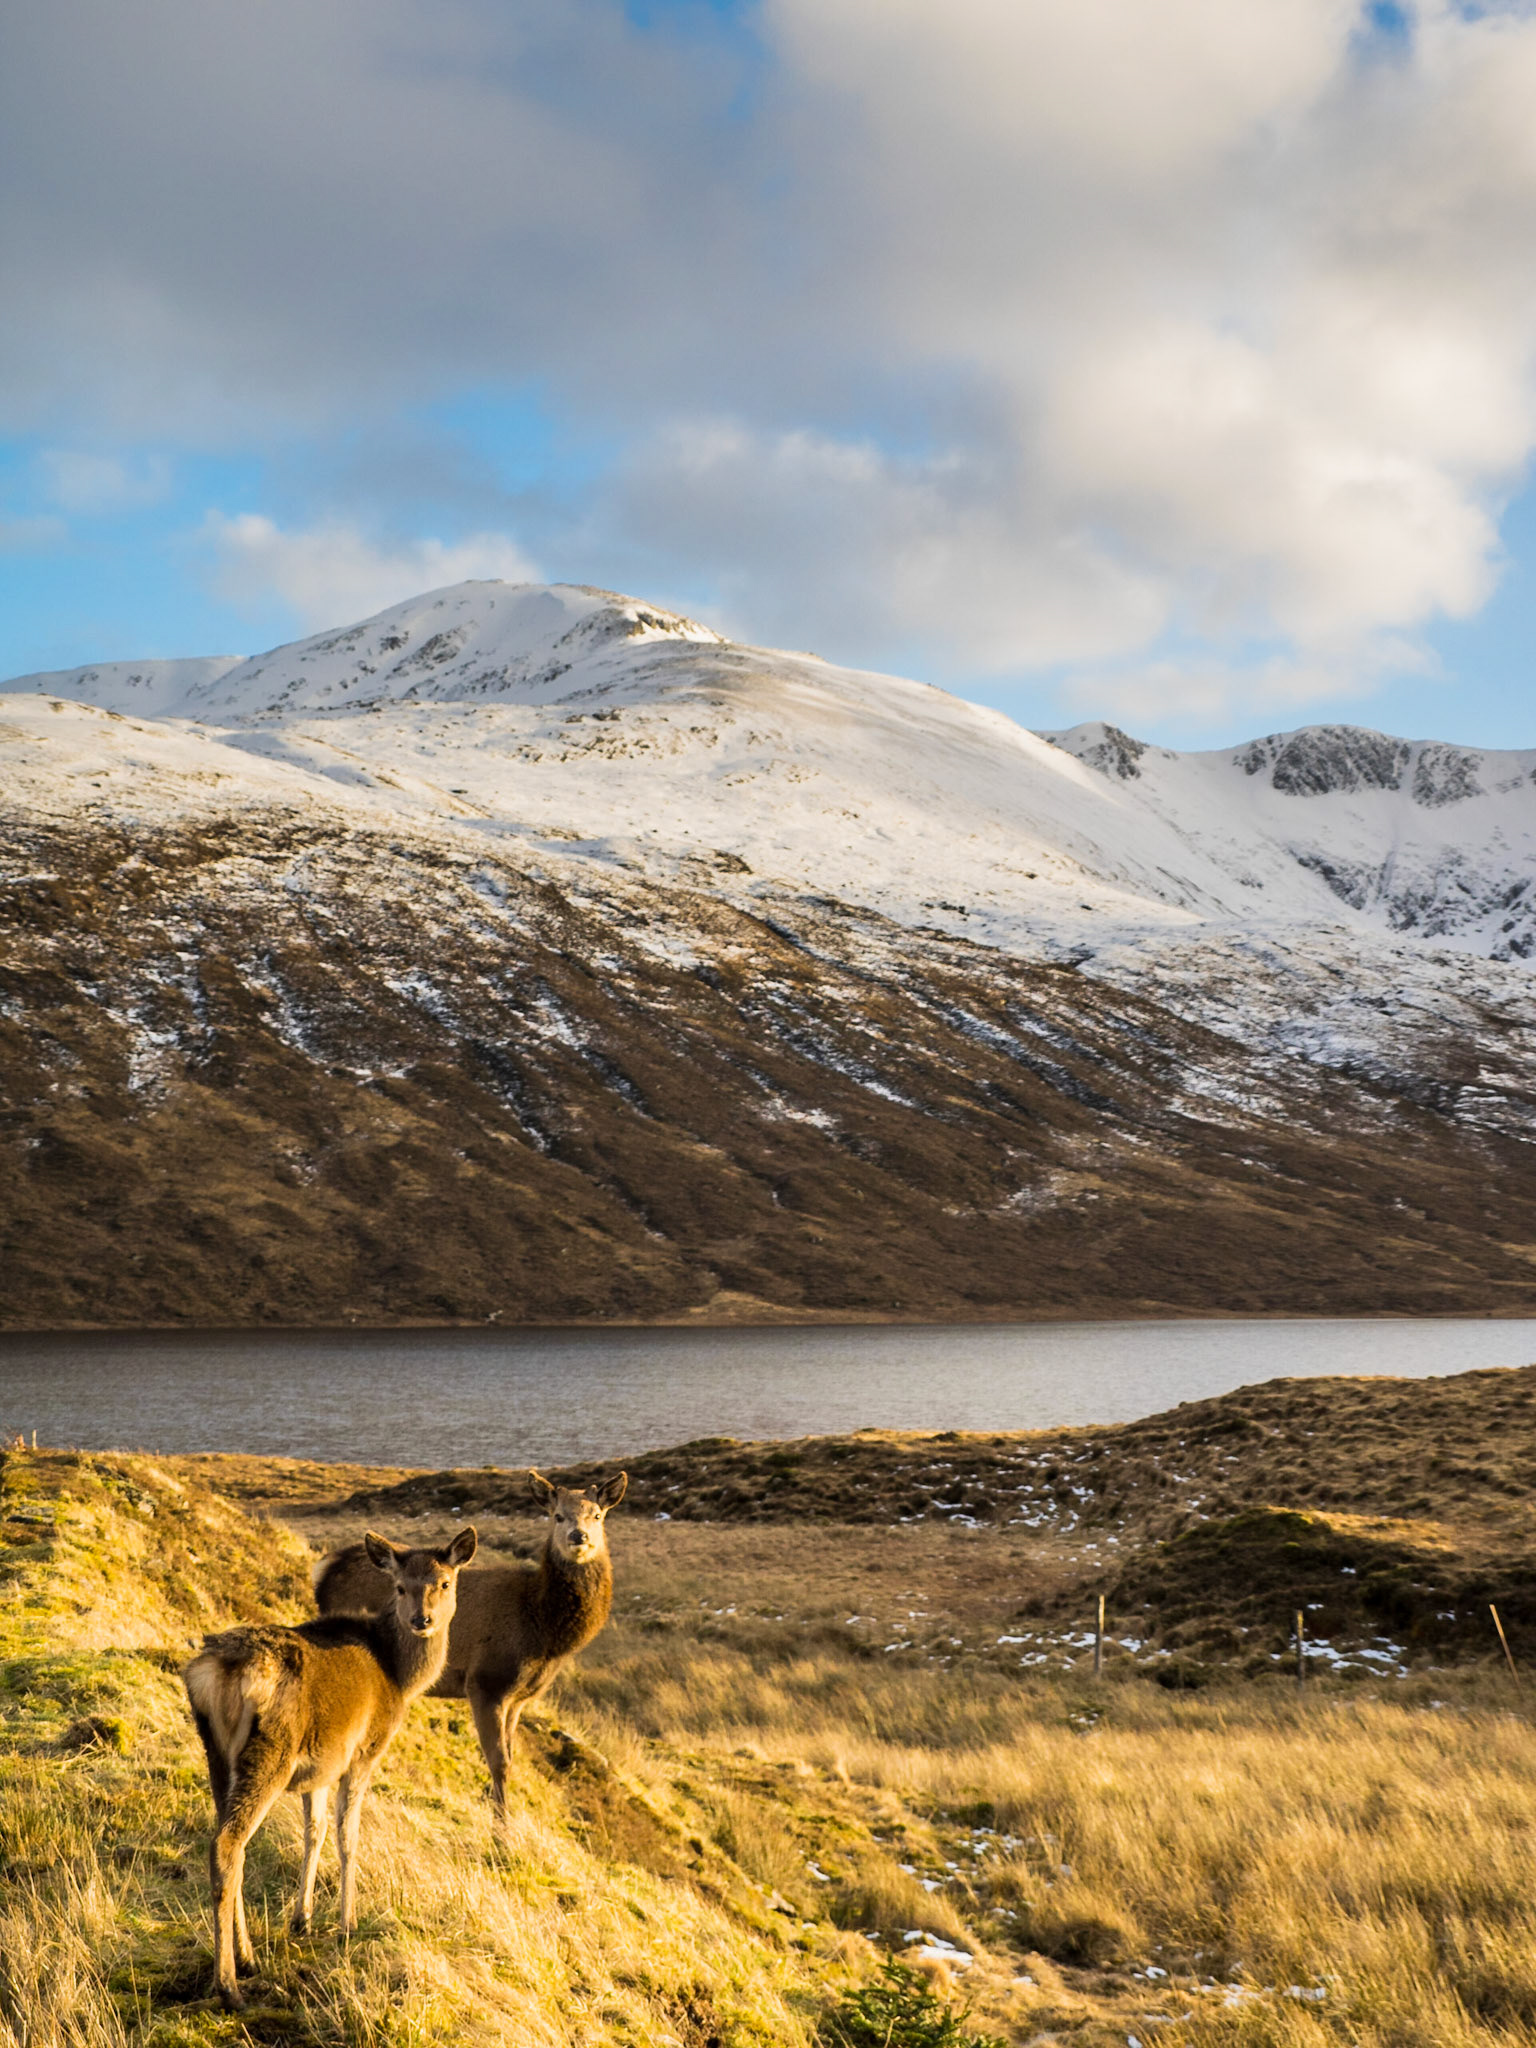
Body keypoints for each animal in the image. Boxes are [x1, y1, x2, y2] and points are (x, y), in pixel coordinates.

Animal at [182, 1526, 477, 2009]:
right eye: (400, 1587)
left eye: (444, 1582)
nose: (423, 1620)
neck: (400, 1679)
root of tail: (219, 1672)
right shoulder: (363, 1751)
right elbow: (348, 1836)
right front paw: (346, 1924)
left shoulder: (319, 1766)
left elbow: (314, 1830)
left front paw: (301, 1918)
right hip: (270, 1752)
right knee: (228, 1844)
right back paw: (228, 1985)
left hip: (217, 1753)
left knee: (227, 1840)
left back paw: (247, 1958)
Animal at [314, 1470, 625, 1814]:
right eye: (557, 1515)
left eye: (597, 1515)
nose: (578, 1537)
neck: (543, 1630)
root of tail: (324, 1568)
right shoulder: (486, 1681)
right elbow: (499, 1762)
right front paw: (502, 1824)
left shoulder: (519, 1697)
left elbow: (511, 1756)